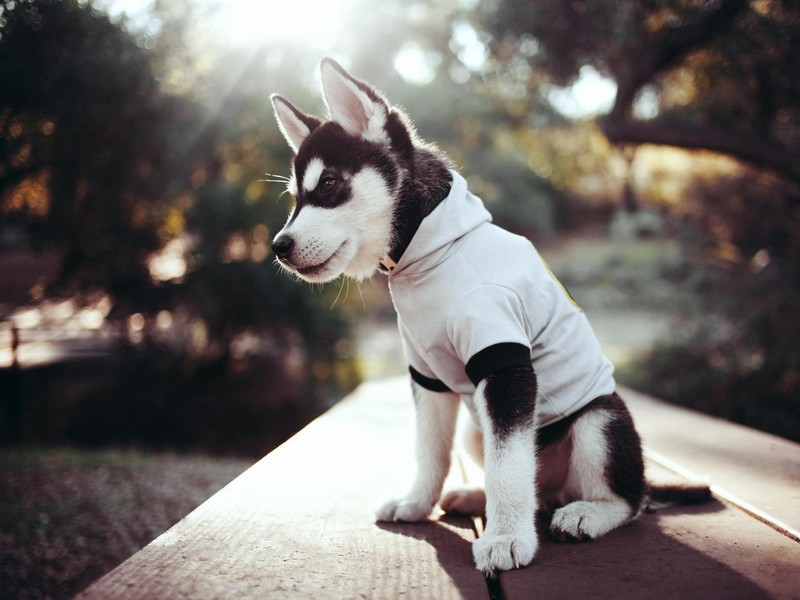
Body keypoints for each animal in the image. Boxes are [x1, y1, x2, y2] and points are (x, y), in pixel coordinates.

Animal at [268, 58, 708, 576]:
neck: (428, 251)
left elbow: (507, 466)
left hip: (598, 420)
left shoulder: (504, 366)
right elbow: (431, 451)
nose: (278, 246)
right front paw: (417, 503)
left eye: (331, 185)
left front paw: (505, 539)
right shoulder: (428, 375)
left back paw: (587, 513)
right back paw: (477, 497)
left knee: (628, 499)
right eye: (296, 198)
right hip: (475, 427)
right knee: (532, 484)